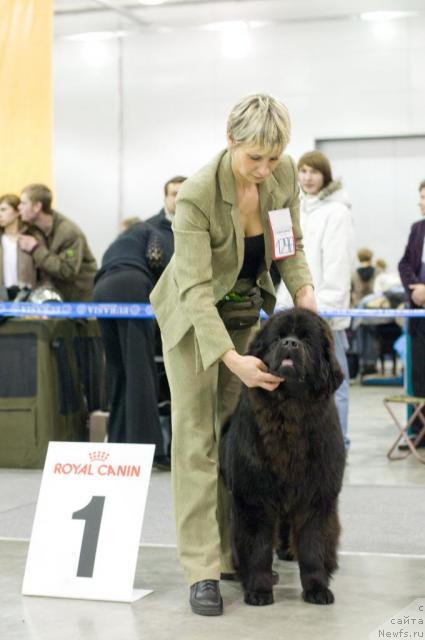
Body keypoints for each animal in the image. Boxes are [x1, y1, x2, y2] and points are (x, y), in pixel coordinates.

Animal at [220, 308, 346, 608]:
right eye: (278, 337)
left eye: (307, 339)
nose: (290, 343)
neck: (289, 412)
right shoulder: (253, 496)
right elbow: (257, 547)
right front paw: (258, 589)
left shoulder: (317, 495)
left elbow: (314, 545)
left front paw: (317, 588)